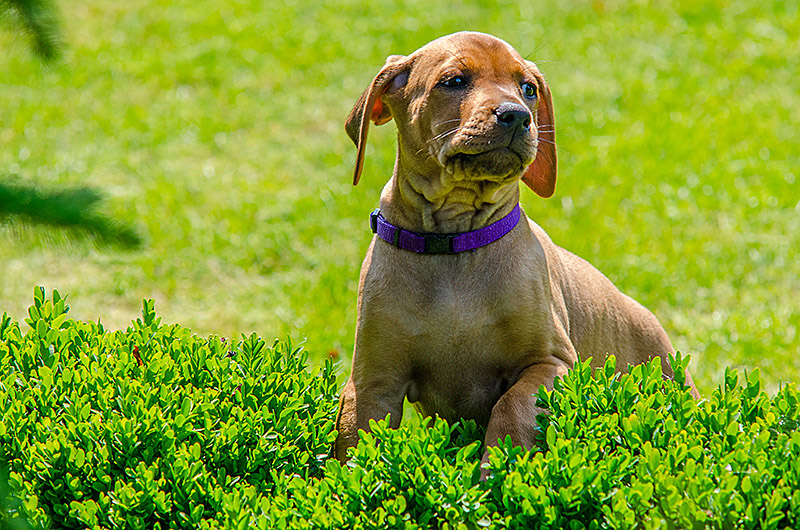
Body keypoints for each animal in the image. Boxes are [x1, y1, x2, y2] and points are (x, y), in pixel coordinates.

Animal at [334, 31, 699, 469]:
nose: (517, 116)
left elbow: (513, 405)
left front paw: (497, 470)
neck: (455, 242)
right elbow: (355, 452)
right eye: (454, 81)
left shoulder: (550, 363)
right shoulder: (372, 384)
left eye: (528, 89)